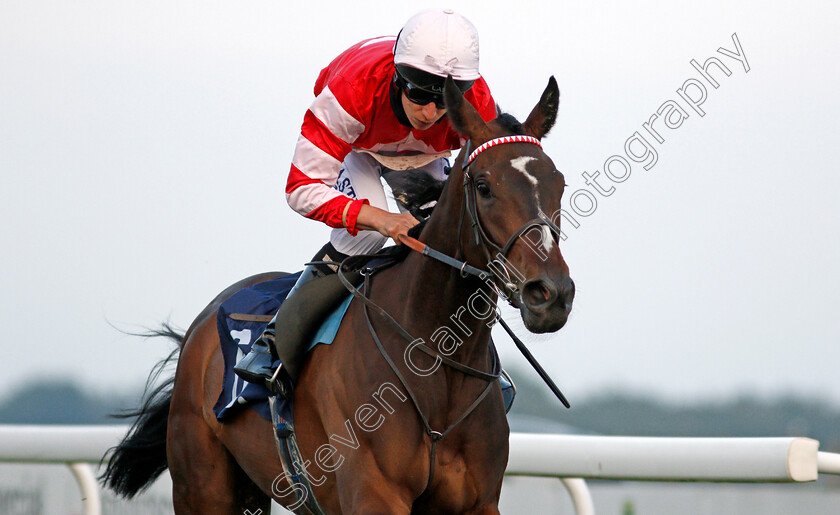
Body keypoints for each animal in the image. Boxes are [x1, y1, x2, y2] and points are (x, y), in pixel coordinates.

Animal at [105, 74, 576, 512]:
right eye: (484, 186)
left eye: (559, 183)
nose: (551, 294)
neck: (435, 359)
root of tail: (200, 326)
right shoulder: (374, 495)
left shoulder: (477, 502)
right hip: (202, 486)